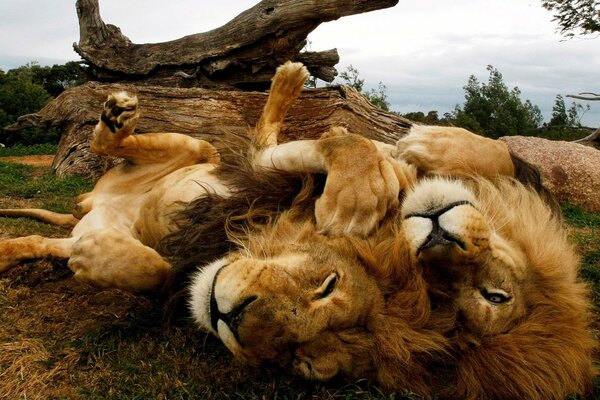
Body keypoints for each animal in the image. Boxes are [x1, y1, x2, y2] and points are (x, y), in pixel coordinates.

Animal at [0, 61, 596, 398]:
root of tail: (92, 202)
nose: (228, 316)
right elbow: (348, 144)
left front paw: (100, 258)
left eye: (302, 363)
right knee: (111, 142)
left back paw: (22, 250)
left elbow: (158, 270)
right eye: (329, 284)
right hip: (196, 148)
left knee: (43, 239)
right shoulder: (277, 172)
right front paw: (357, 195)